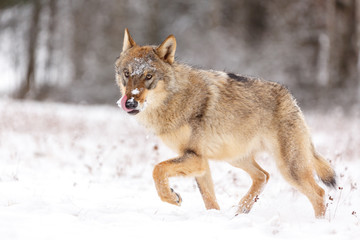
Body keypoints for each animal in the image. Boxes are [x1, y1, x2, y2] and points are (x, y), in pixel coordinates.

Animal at [114, 28, 336, 218]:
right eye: (127, 74)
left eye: (148, 76)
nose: (130, 103)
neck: (174, 100)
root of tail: (291, 98)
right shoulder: (199, 160)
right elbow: (209, 199)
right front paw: (213, 217)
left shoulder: (195, 157)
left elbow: (157, 169)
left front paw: (172, 197)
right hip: (234, 157)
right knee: (263, 175)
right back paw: (241, 211)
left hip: (289, 169)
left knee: (319, 193)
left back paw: (319, 224)